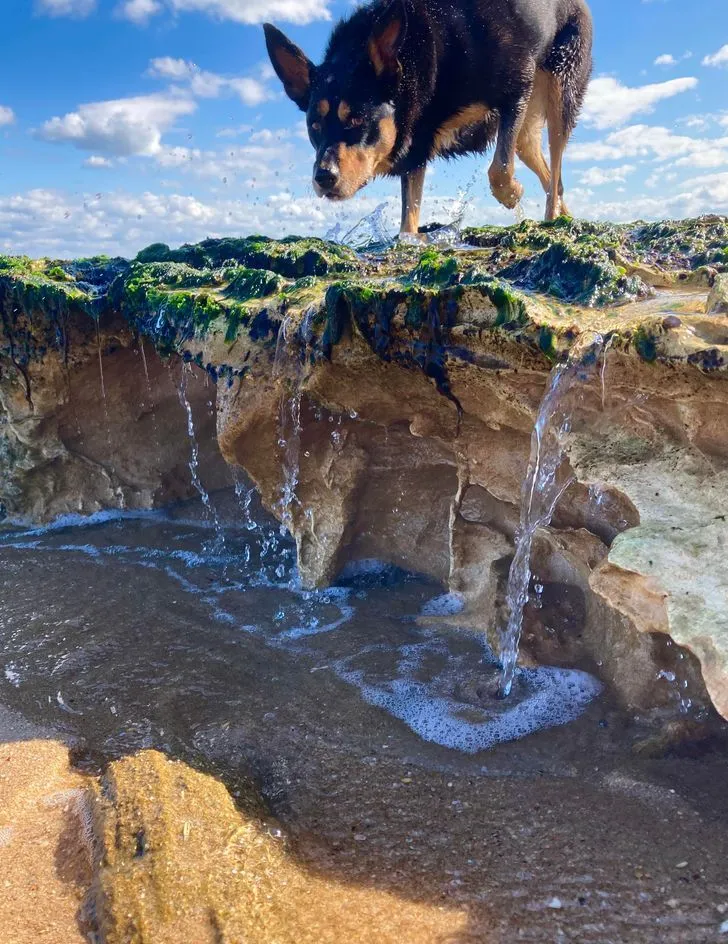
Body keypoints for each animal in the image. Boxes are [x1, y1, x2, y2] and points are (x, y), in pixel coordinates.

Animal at [264, 0, 596, 236]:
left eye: (357, 119)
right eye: (314, 126)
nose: (323, 177)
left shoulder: (516, 88)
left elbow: (499, 171)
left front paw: (513, 194)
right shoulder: (416, 147)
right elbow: (408, 222)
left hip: (561, 89)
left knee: (554, 162)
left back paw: (551, 219)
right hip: (527, 131)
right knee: (545, 168)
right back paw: (564, 214)